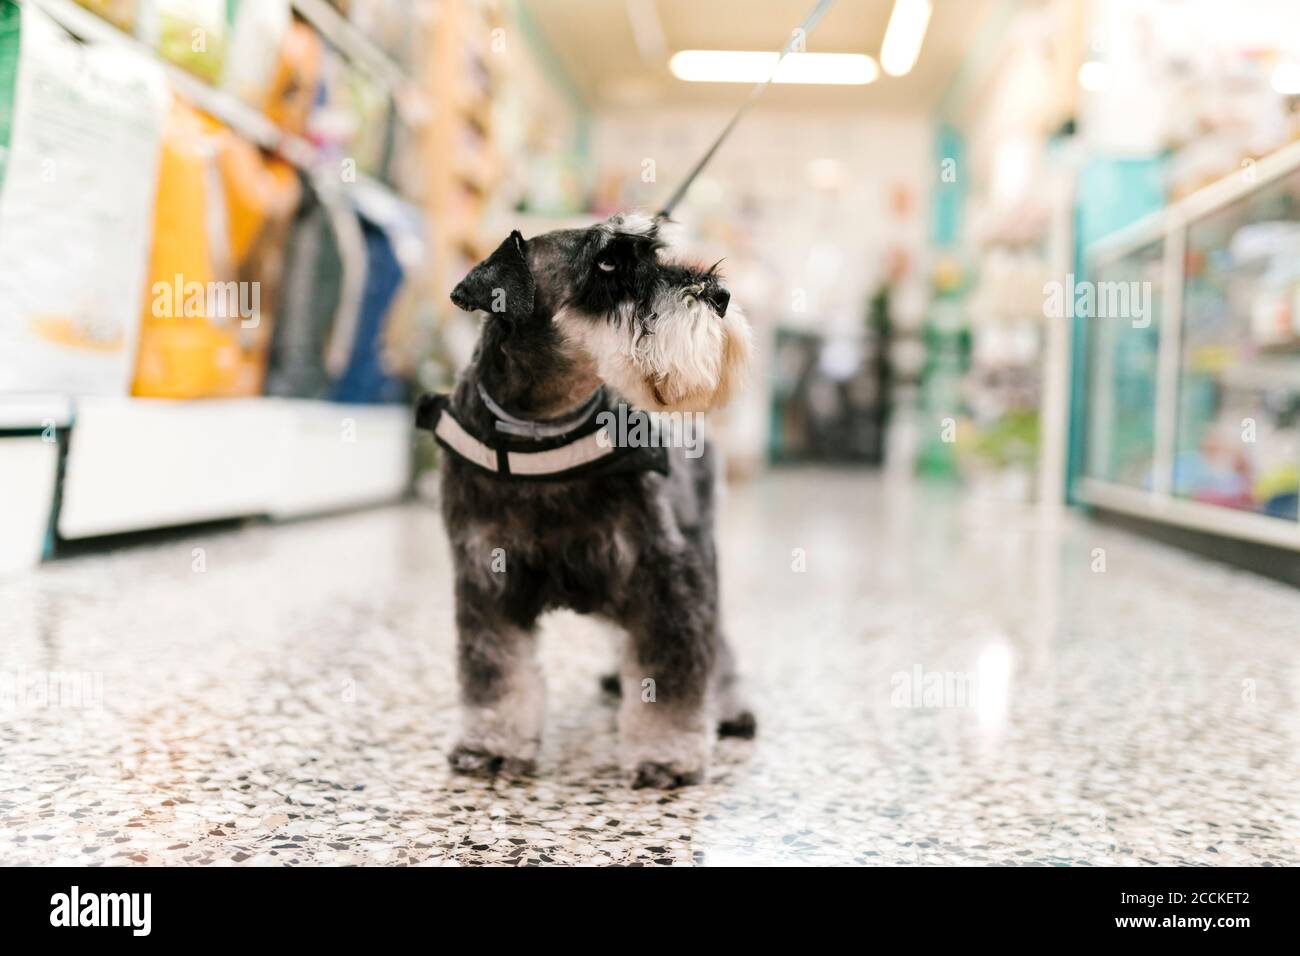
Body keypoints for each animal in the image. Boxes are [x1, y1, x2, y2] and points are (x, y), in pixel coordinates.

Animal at [423, 213, 754, 790]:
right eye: (606, 262)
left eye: (653, 252)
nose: (721, 296)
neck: (545, 433)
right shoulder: (485, 581)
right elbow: (495, 671)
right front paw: (490, 745)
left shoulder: (664, 576)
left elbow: (672, 670)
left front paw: (666, 753)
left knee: (717, 642)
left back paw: (729, 707)